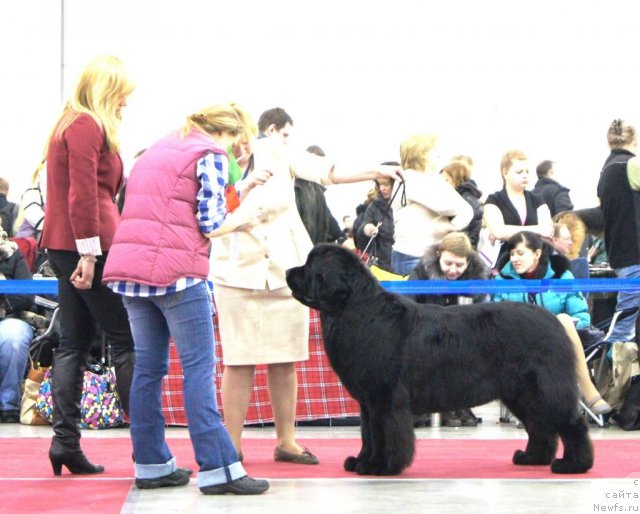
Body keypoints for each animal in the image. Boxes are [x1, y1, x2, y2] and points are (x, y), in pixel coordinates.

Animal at [286, 242, 596, 474]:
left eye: (310, 268)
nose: (288, 271)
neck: (355, 310)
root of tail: (556, 322)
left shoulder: (386, 398)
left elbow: (385, 433)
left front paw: (381, 466)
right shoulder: (368, 402)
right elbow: (368, 433)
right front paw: (361, 461)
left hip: (544, 389)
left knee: (571, 423)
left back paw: (574, 465)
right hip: (520, 393)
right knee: (539, 426)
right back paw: (532, 458)